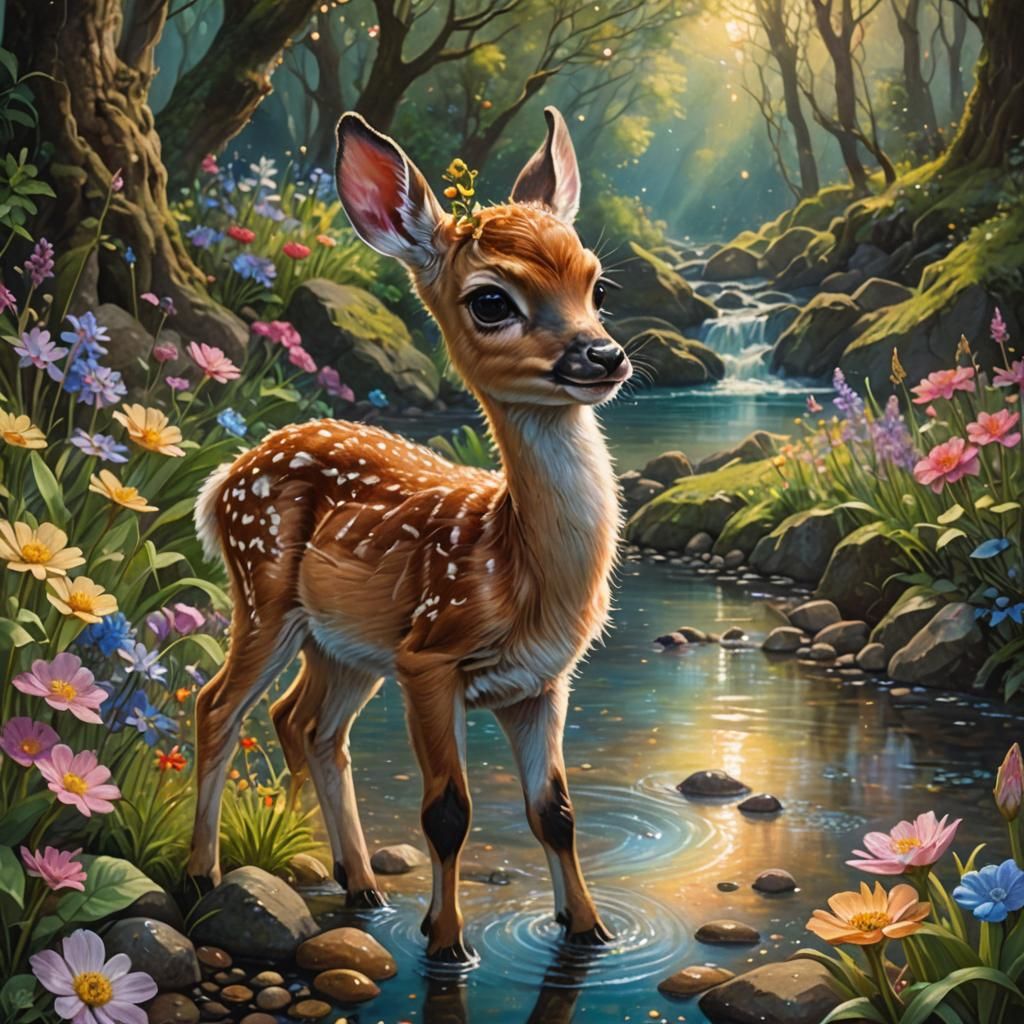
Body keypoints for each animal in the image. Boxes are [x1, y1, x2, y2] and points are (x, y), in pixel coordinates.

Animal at [187, 106, 631, 963]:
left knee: (307, 723)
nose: (604, 354)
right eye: (491, 301)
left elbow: (555, 813)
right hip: (263, 593)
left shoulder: (543, 681)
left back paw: (359, 883)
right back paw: (201, 873)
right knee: (219, 706)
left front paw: (590, 931)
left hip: (348, 644)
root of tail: (223, 477)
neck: (513, 565)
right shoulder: (429, 658)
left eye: (596, 284)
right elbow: (447, 812)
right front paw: (449, 943)